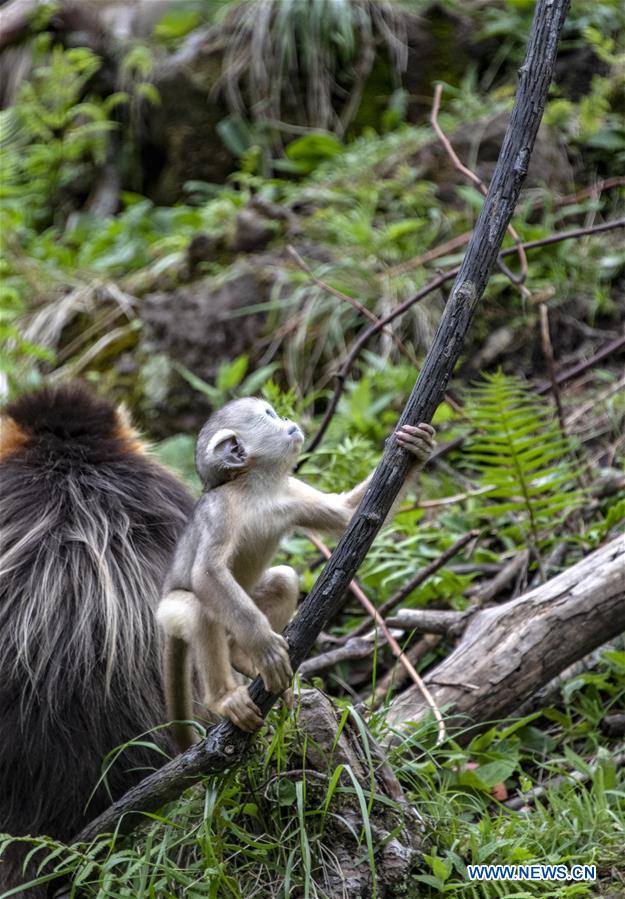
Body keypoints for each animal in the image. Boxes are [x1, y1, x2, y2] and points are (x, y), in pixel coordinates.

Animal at [157, 397, 435, 749]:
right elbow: (207, 573)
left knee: (283, 580)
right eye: (269, 415)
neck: (256, 489)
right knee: (197, 610)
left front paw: (418, 448)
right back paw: (225, 697)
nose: (288, 419)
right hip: (170, 611)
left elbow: (347, 515)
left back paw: (241, 657)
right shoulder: (218, 509)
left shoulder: (289, 492)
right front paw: (263, 646)